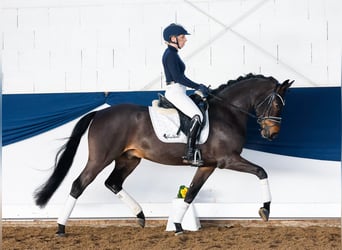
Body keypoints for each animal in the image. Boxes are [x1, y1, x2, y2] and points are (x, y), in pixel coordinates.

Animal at [33, 73, 292, 235]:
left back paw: (140, 216)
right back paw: (60, 228)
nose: (272, 135)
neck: (227, 113)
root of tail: (99, 114)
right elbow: (261, 172)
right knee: (79, 184)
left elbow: (191, 193)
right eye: (277, 105)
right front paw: (265, 210)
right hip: (100, 158)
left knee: (113, 183)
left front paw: (177, 226)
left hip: (129, 159)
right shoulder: (227, 160)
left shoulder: (207, 165)